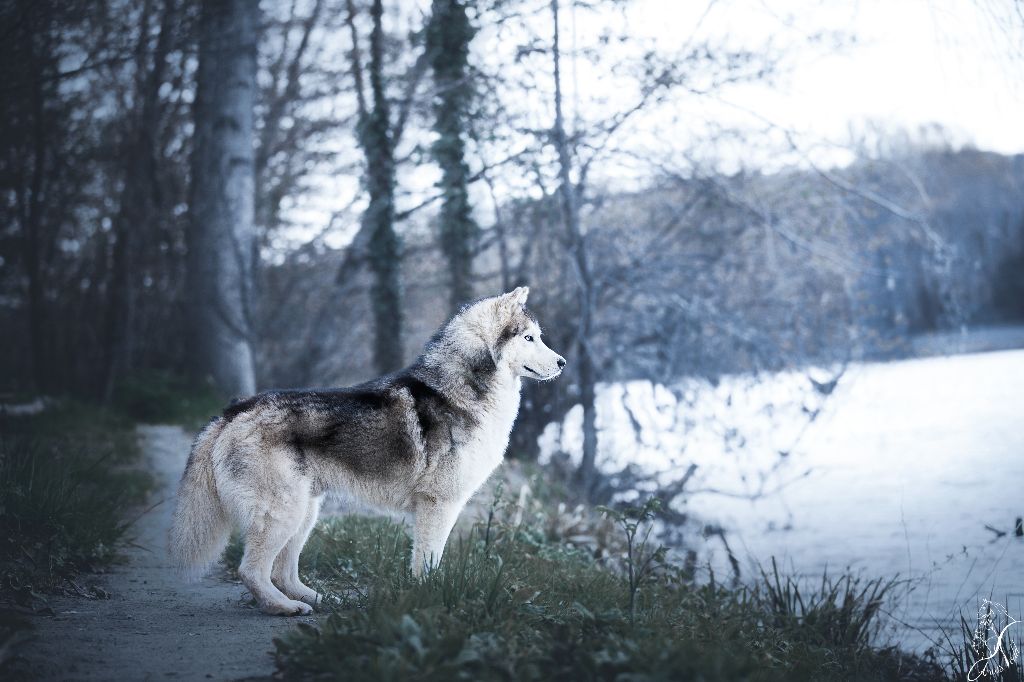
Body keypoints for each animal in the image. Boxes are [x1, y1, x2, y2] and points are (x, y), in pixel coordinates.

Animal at [171, 284, 565, 614]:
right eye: (529, 338)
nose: (562, 362)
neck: (461, 390)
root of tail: (234, 408)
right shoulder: (438, 505)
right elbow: (428, 562)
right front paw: (429, 599)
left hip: (305, 513)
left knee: (282, 572)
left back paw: (319, 599)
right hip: (283, 514)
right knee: (251, 570)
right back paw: (283, 608)